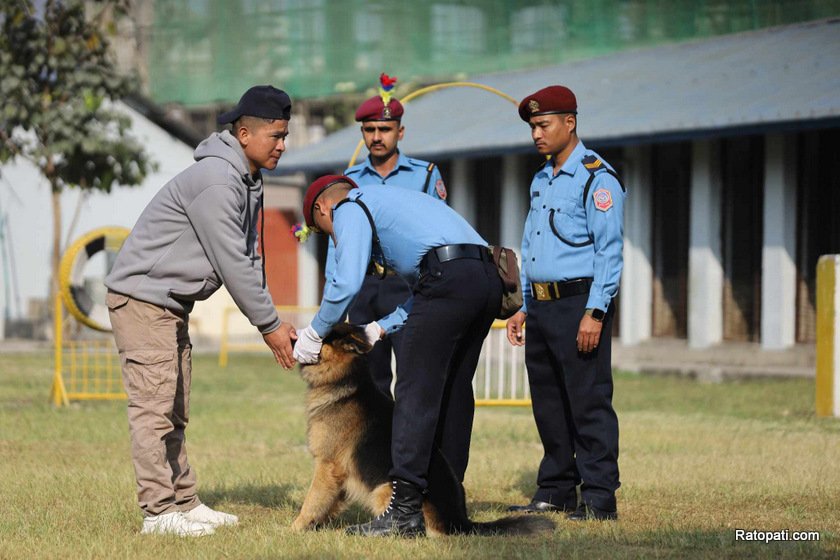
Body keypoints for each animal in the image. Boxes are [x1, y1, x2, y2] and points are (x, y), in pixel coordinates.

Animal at [292, 322, 556, 536]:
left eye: (321, 338)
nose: (293, 339)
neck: (345, 381)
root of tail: (461, 521)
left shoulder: (327, 466)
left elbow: (312, 500)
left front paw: (295, 527)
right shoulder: (340, 476)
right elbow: (329, 503)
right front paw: (316, 526)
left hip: (383, 489)